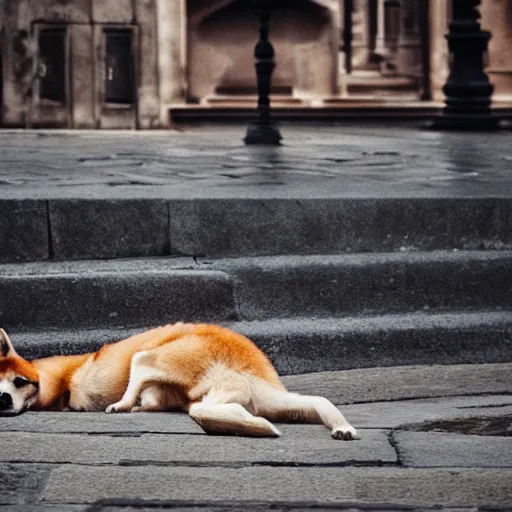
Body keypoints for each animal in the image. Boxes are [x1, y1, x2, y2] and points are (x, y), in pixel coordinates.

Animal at [0, 324, 360, 440]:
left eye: (20, 381)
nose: (3, 399)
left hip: (178, 355)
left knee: (142, 363)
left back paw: (125, 404)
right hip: (251, 394)